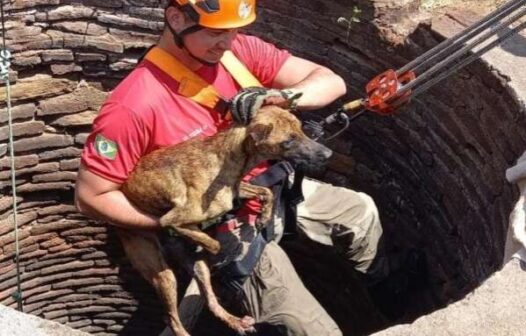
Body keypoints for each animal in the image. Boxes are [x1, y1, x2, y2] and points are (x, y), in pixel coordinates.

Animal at [119, 103, 334, 334]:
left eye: (301, 130)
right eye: (288, 140)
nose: (328, 153)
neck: (225, 157)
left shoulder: (237, 189)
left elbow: (265, 191)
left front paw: (264, 217)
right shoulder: (170, 220)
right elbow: (214, 243)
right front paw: (213, 245)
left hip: (195, 271)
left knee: (211, 302)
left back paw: (234, 321)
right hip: (163, 274)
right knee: (172, 319)